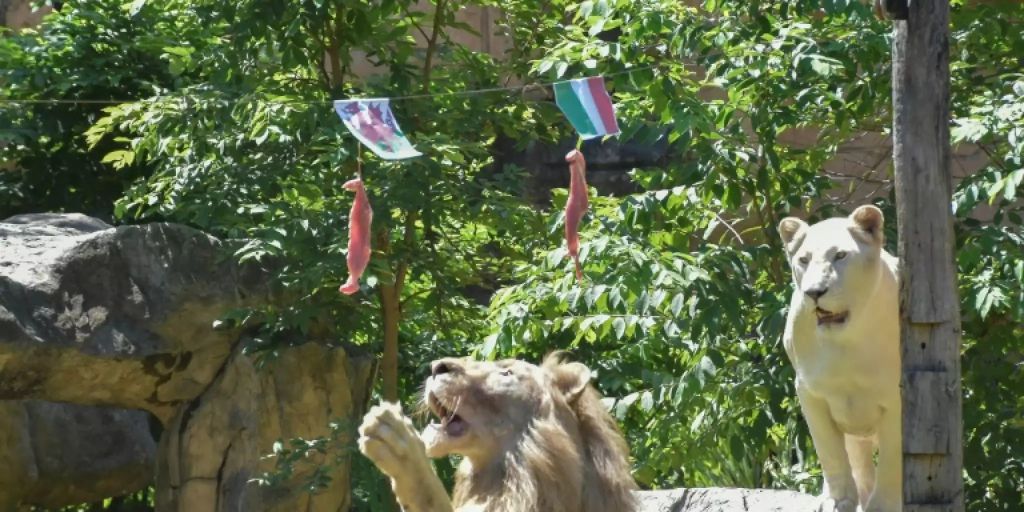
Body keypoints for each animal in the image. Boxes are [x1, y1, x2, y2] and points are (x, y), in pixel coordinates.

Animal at [778, 204, 901, 512]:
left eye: (841, 255)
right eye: (804, 260)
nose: (814, 292)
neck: (846, 341)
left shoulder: (899, 396)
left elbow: (892, 457)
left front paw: (883, 506)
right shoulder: (810, 393)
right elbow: (829, 451)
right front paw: (837, 501)